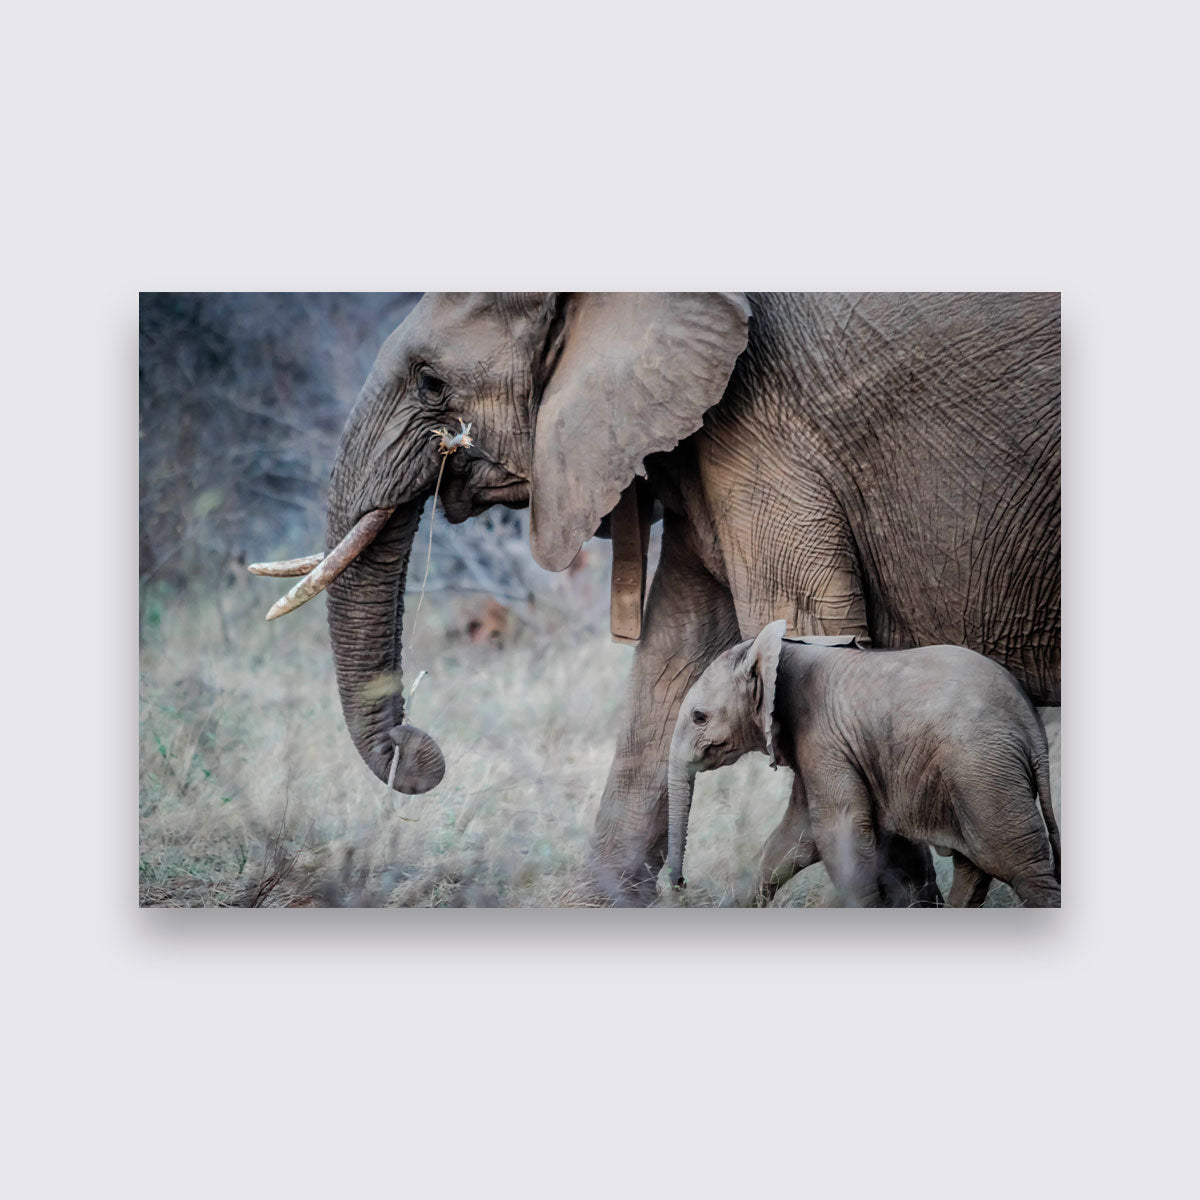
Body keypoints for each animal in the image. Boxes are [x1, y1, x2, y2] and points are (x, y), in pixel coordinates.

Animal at [666, 622, 1061, 908]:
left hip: (982, 771)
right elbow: (794, 838)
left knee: (1018, 865)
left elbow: (839, 832)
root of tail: (1032, 727)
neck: (781, 650)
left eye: (699, 717)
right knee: (975, 866)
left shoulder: (823, 737)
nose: (680, 885)